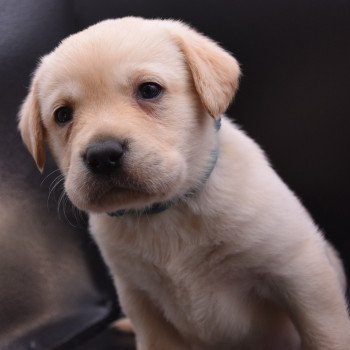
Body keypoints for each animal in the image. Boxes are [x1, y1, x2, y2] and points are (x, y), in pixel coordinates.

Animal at [18, 17, 350, 350]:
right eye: (63, 114)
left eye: (149, 90)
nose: (102, 155)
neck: (167, 210)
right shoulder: (141, 301)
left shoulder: (301, 275)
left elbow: (325, 335)